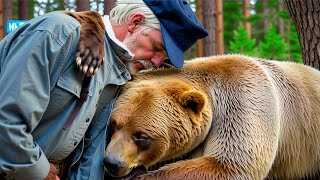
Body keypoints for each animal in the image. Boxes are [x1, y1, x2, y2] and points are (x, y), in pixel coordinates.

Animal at [104, 54, 320, 180]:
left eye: (141, 135)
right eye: (113, 125)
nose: (111, 163)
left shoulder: (243, 103)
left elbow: (231, 165)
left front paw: (140, 175)